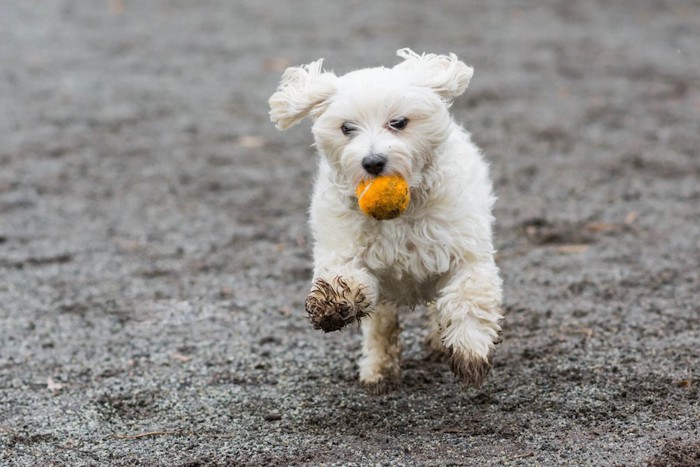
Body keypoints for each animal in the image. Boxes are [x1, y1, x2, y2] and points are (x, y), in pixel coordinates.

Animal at [268, 49, 504, 394]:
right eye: (347, 128)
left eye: (398, 122)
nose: (373, 162)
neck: (402, 215)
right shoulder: (347, 247)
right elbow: (346, 276)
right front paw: (333, 303)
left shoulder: (465, 252)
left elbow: (468, 296)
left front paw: (470, 350)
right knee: (381, 326)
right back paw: (379, 369)